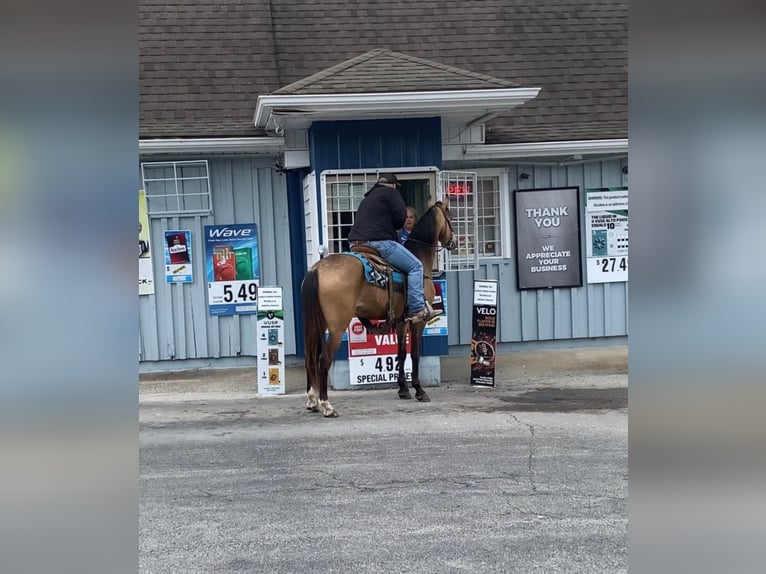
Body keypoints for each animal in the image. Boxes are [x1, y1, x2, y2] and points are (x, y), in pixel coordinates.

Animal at [300, 202, 456, 418]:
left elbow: (401, 353)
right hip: (337, 327)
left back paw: (312, 400)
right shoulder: (418, 322)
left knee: (310, 356)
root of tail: (316, 269)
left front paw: (403, 390)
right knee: (323, 359)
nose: (454, 242)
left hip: (316, 323)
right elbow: (415, 354)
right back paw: (327, 405)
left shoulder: (401, 321)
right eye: (450, 217)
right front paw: (419, 390)